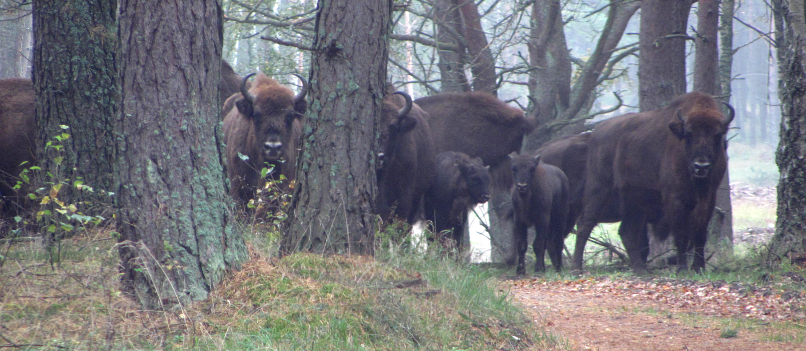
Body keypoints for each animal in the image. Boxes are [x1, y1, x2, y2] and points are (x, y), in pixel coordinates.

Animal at [576, 93, 740, 276]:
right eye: (689, 134)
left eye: (717, 135)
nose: (701, 166)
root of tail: (596, 132)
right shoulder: (675, 199)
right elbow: (681, 235)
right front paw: (682, 269)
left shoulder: (708, 199)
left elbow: (700, 234)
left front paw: (699, 268)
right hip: (600, 190)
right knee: (585, 224)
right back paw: (576, 268)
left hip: (636, 203)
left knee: (627, 232)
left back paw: (641, 270)